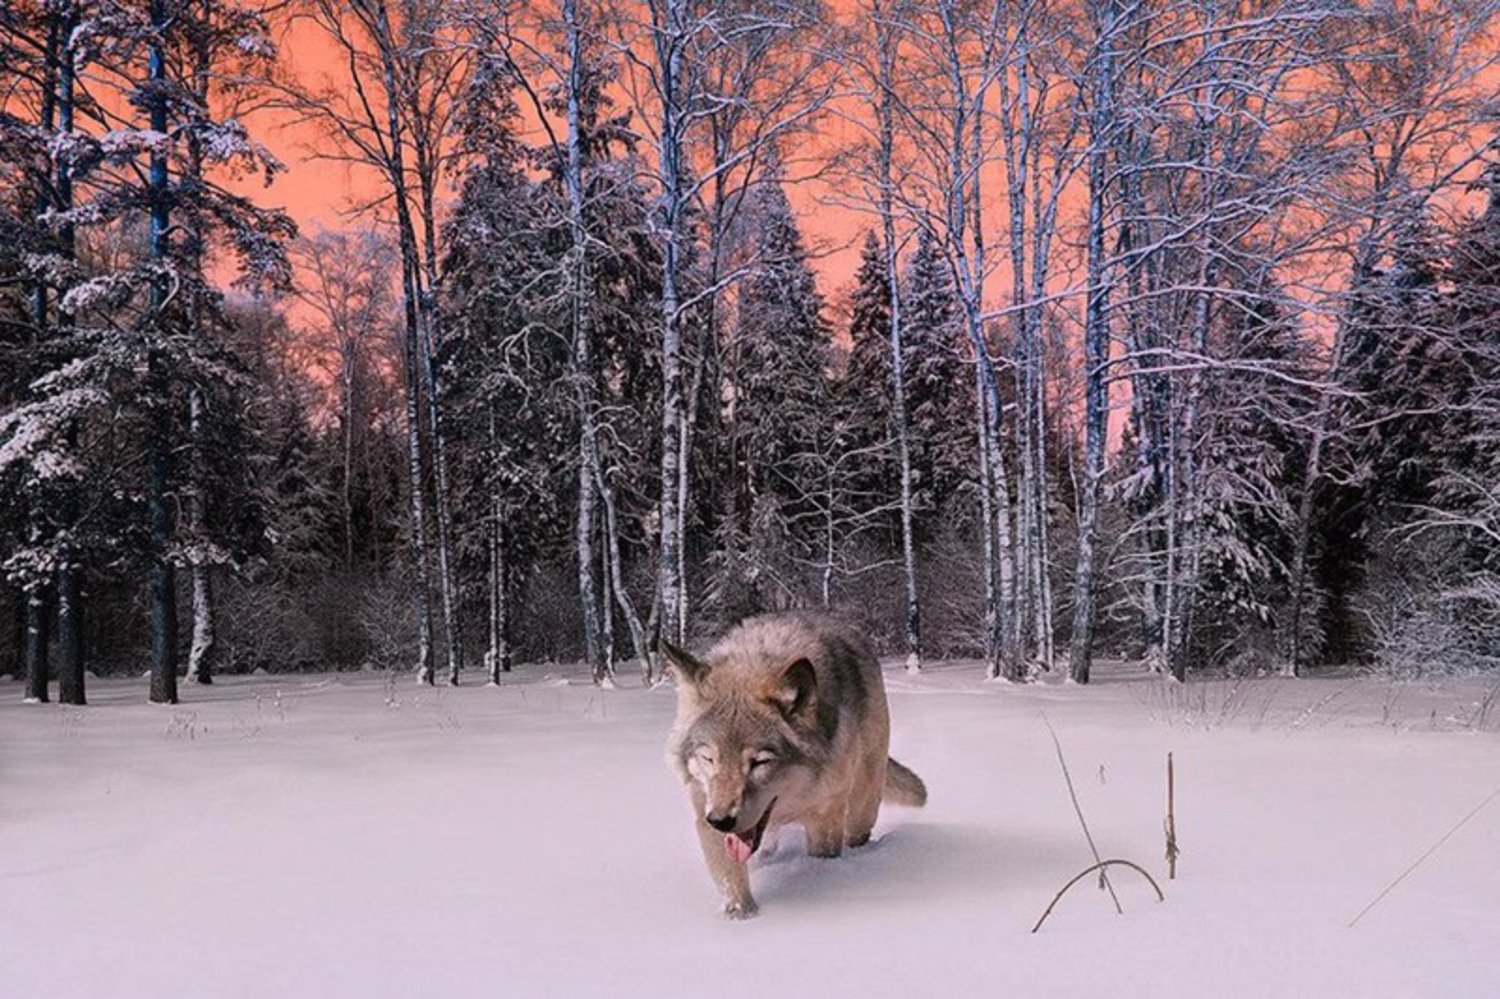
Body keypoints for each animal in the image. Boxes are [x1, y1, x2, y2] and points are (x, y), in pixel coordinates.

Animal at [660, 612, 918, 912]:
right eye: (709, 758)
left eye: (759, 762)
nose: (721, 821)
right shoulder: (706, 809)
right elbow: (733, 889)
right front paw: (742, 918)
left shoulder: (824, 818)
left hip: (861, 807)